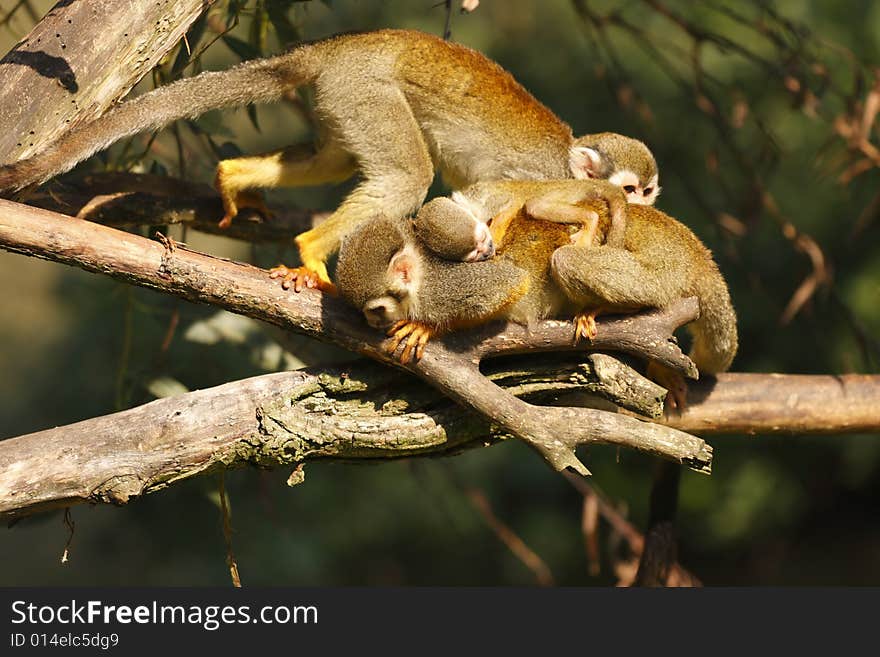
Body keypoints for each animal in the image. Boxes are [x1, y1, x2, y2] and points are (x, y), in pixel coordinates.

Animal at [0, 28, 660, 290]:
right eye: (633, 191)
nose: (647, 205)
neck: (566, 159)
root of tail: (339, 46)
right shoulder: (537, 179)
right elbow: (499, 204)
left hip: (343, 98)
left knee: (338, 160)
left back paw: (234, 178)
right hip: (366, 88)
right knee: (407, 175)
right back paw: (312, 250)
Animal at [336, 179, 736, 404]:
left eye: (376, 311)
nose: (372, 324)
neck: (420, 274)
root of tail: (692, 249)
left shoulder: (445, 285)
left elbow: (510, 282)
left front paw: (426, 328)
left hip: (657, 271)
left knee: (566, 258)